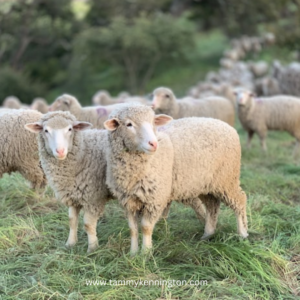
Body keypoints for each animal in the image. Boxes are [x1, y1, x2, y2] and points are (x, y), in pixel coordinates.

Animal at [24, 111, 112, 252]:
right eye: (46, 130)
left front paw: (92, 248)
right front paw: (70, 243)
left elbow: (88, 225)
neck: (84, 151)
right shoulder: (72, 194)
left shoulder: (93, 197)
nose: (60, 151)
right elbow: (71, 221)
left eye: (70, 129)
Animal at [104, 102, 247, 253]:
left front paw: (145, 253)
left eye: (153, 122)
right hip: (206, 183)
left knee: (240, 200)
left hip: (227, 178)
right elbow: (133, 229)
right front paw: (133, 253)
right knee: (212, 206)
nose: (153, 143)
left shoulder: (155, 198)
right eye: (129, 124)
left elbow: (146, 227)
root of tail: (227, 126)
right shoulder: (128, 201)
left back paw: (242, 234)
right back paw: (208, 234)